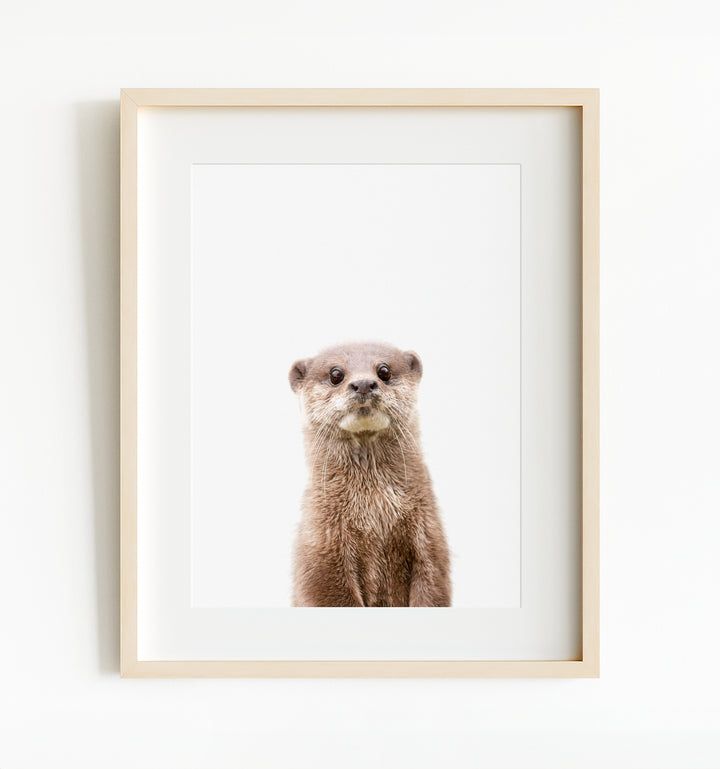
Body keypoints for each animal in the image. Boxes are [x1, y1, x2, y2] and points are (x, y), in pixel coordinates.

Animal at [288, 341, 451, 607]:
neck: (374, 514)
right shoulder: (320, 549)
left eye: (384, 371)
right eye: (336, 374)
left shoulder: (430, 537)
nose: (364, 383)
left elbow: (433, 587)